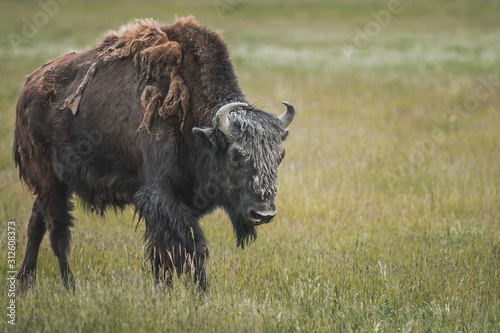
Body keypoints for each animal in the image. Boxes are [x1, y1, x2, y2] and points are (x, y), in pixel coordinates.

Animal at [13, 16, 294, 290]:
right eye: (235, 155)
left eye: (279, 157)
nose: (263, 214)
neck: (194, 125)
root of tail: (28, 86)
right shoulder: (161, 198)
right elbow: (192, 249)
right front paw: (201, 295)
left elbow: (163, 256)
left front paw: (163, 291)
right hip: (50, 180)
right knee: (58, 231)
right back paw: (69, 286)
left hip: (55, 184)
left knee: (37, 222)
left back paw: (26, 281)